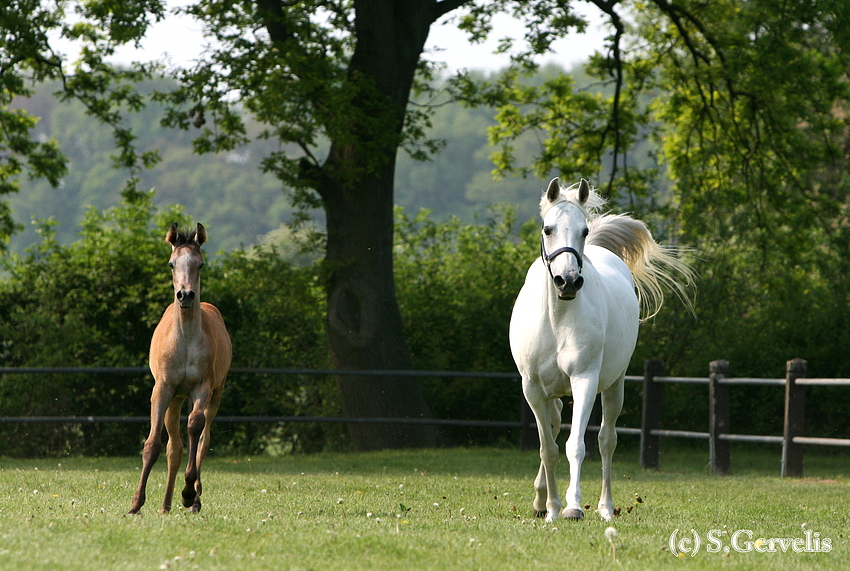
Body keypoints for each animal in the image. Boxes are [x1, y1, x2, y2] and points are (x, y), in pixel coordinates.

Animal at [506, 179, 692, 524]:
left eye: (583, 230)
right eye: (547, 229)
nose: (567, 281)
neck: (557, 319)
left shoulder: (585, 381)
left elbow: (576, 446)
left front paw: (572, 506)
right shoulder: (533, 389)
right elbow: (547, 449)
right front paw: (551, 508)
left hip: (614, 385)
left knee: (607, 440)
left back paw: (606, 507)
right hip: (552, 394)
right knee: (554, 426)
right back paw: (541, 500)